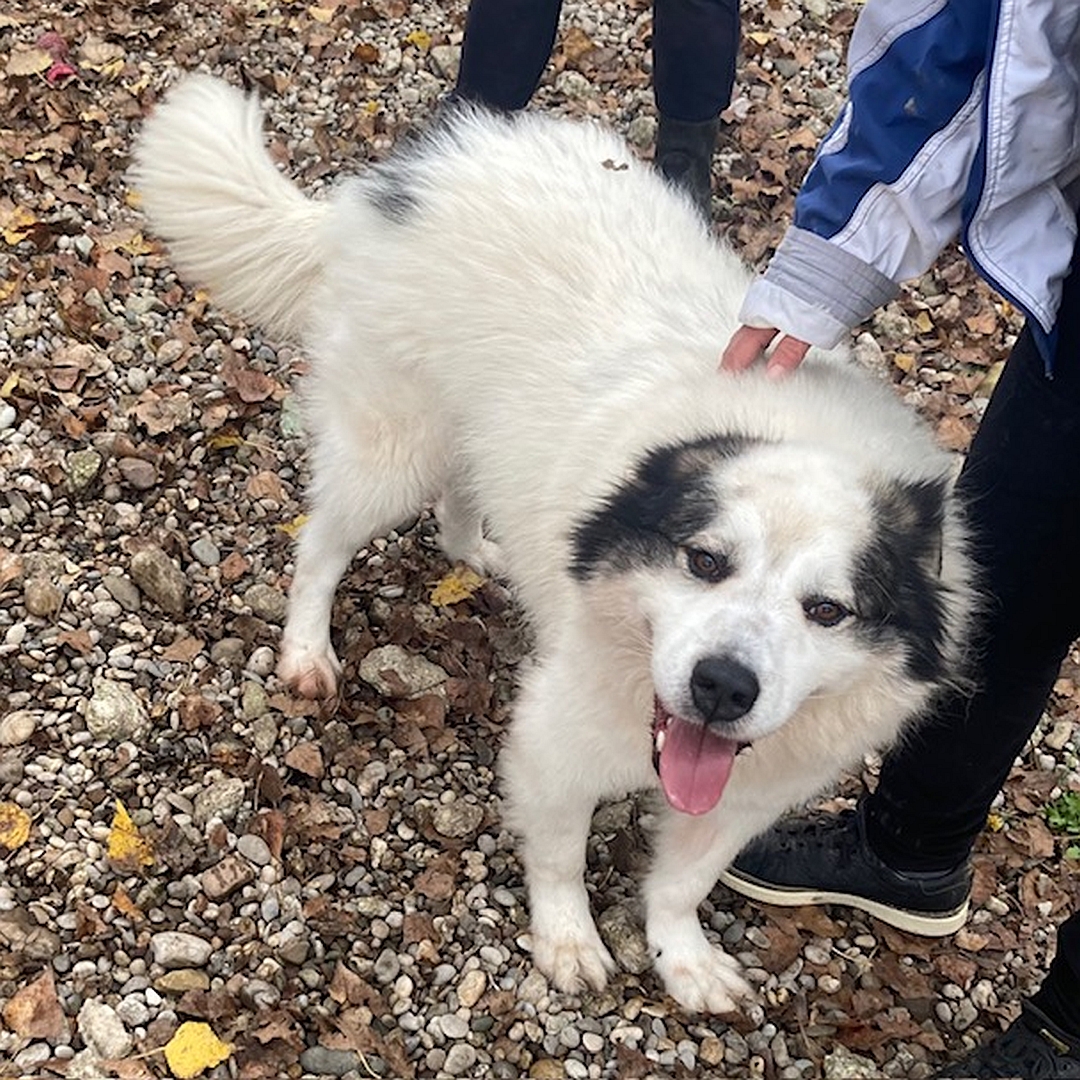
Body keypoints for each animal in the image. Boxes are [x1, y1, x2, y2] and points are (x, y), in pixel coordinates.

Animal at [130, 76, 976, 1010]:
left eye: (827, 610)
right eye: (704, 561)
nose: (722, 687)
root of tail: (400, 178)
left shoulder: (752, 789)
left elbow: (683, 882)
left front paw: (684, 960)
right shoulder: (558, 732)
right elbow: (563, 855)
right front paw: (568, 942)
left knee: (464, 490)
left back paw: (476, 550)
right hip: (394, 443)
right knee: (321, 544)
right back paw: (307, 652)